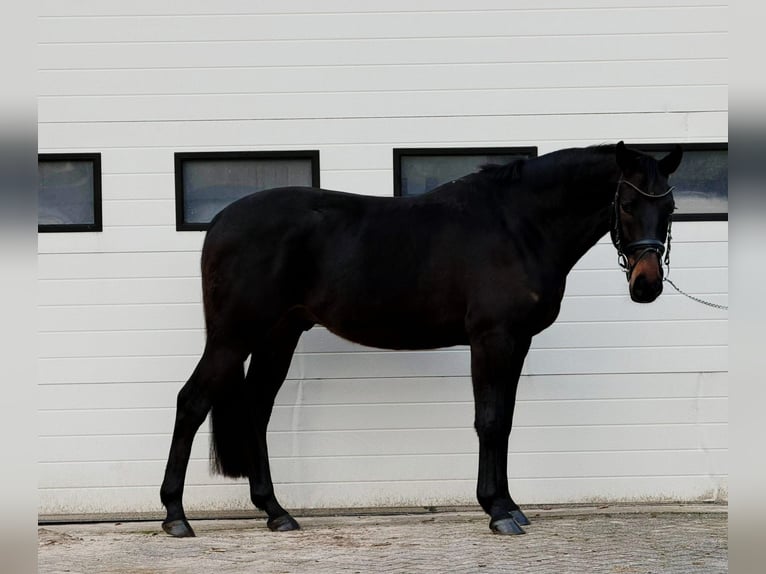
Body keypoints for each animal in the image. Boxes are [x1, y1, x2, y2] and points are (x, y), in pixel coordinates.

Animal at [160, 141, 682, 536]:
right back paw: (176, 516)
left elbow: (506, 421)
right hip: (234, 335)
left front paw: (511, 505)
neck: (518, 226)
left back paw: (276, 512)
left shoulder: (517, 342)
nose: (647, 285)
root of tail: (220, 222)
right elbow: (490, 420)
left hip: (277, 335)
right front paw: (497, 511)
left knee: (256, 410)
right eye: (628, 204)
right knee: (192, 402)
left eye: (671, 207)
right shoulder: (492, 338)